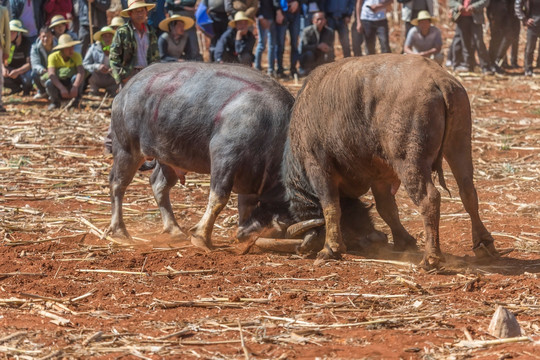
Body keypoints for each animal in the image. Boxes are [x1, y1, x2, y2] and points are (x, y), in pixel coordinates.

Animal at [107, 62, 296, 249]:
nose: (245, 234)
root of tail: (124, 92)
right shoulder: (225, 157)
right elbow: (218, 198)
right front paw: (202, 237)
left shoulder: (250, 177)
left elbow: (245, 204)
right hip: (126, 149)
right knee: (117, 183)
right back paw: (119, 231)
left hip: (168, 157)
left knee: (159, 185)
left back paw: (174, 229)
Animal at [284, 53, 500, 268]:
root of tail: (438, 78)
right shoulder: (380, 177)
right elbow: (386, 208)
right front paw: (404, 241)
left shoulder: (319, 168)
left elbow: (331, 207)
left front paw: (330, 248)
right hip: (459, 144)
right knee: (468, 191)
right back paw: (483, 243)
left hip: (410, 161)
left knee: (429, 199)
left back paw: (431, 258)